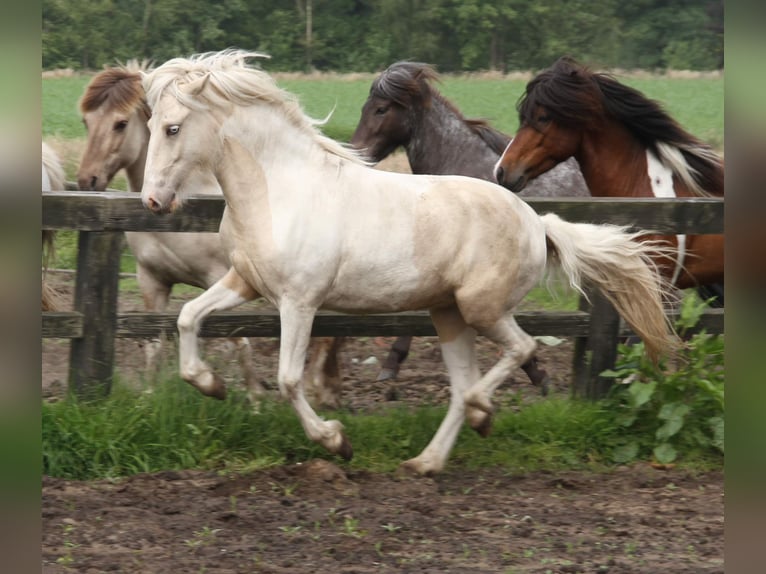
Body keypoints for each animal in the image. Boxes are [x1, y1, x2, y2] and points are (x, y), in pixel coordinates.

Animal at [76, 62, 344, 404]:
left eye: (120, 124)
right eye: (87, 121)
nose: (87, 180)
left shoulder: (219, 275)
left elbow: (238, 340)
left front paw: (253, 395)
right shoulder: (152, 280)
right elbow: (154, 343)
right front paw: (150, 394)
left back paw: (324, 388)